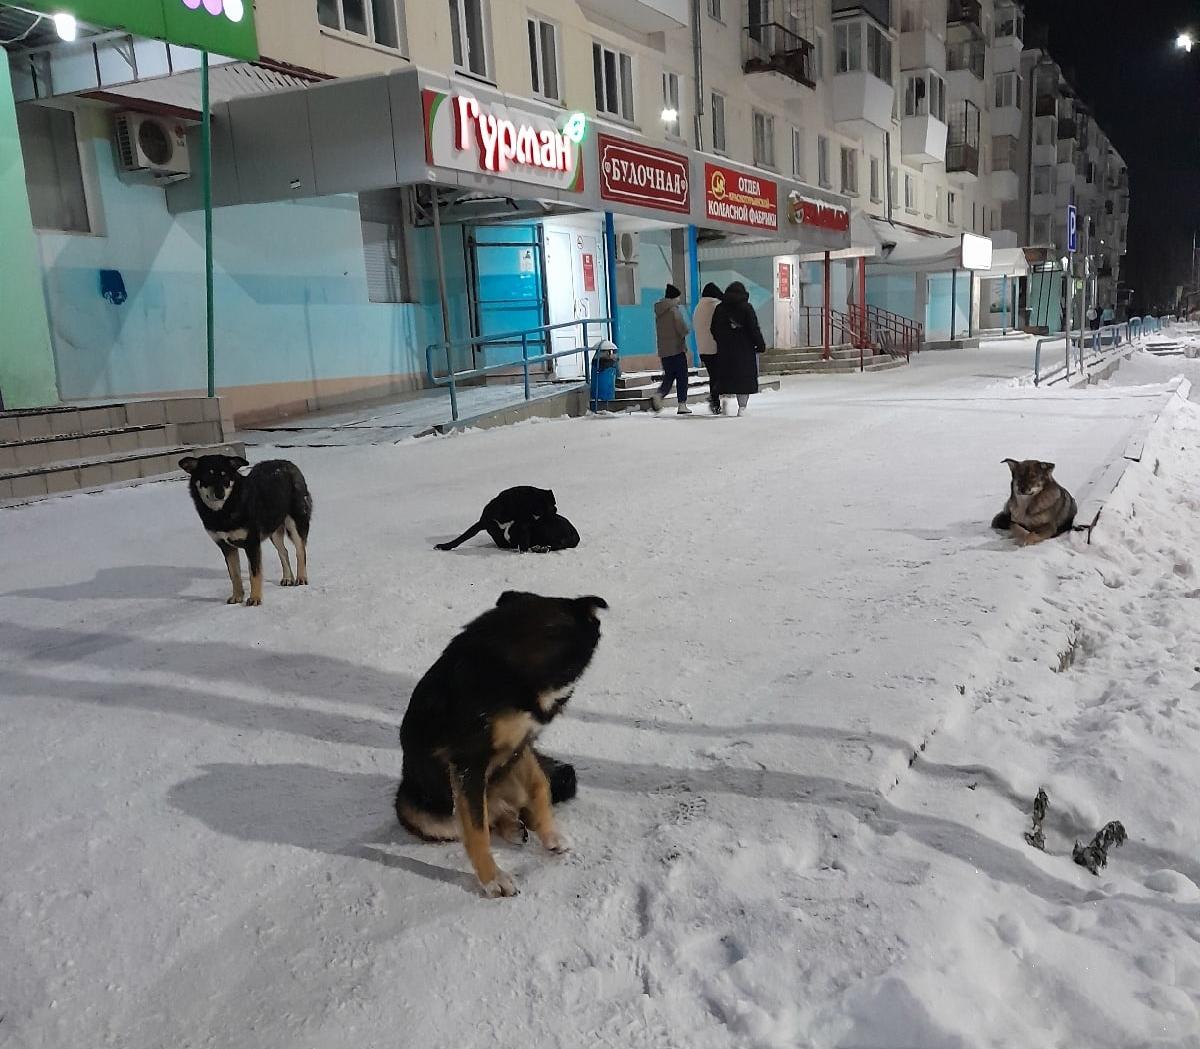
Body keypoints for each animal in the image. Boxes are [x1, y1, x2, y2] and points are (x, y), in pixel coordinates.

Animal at [178, 453, 312, 609]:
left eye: (225, 475)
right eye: (207, 475)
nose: (220, 494)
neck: (223, 511)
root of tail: (287, 463)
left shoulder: (252, 543)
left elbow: (254, 574)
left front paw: (255, 598)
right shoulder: (226, 547)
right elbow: (234, 575)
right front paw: (237, 597)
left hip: (295, 522)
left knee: (300, 550)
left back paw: (301, 577)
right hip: (273, 529)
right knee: (283, 551)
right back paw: (287, 578)